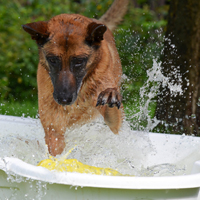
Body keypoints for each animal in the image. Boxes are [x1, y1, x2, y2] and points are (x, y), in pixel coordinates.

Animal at [21, 0, 128, 156]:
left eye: (79, 61)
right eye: (53, 60)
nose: (64, 99)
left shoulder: (115, 123)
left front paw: (110, 94)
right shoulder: (54, 129)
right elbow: (56, 151)